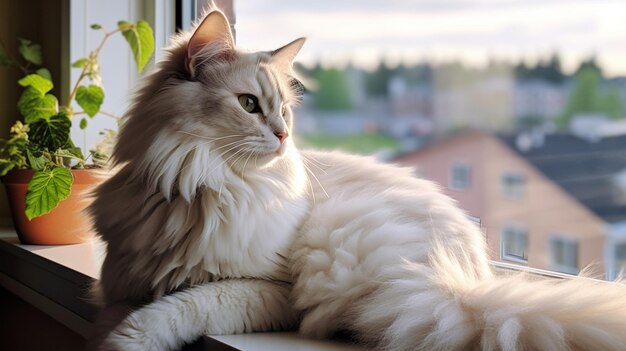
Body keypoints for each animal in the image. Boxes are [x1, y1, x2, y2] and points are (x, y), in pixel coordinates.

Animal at [89, 7, 626, 351]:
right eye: (248, 104)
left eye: (284, 111)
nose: (284, 135)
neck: (200, 183)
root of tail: (471, 281)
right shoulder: (120, 278)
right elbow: (126, 300)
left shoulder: (269, 289)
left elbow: (182, 306)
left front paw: (124, 340)